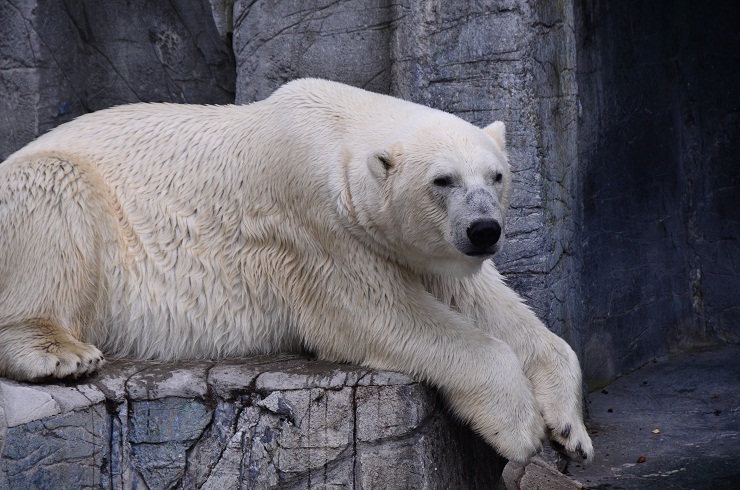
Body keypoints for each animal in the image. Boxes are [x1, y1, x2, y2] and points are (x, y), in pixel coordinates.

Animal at [0, 79, 588, 464]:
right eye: (442, 180)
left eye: (497, 175)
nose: (484, 229)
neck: (332, 128)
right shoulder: (312, 224)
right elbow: (375, 313)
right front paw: (520, 428)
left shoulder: (409, 245)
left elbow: (487, 303)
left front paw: (569, 428)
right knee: (54, 182)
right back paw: (59, 353)